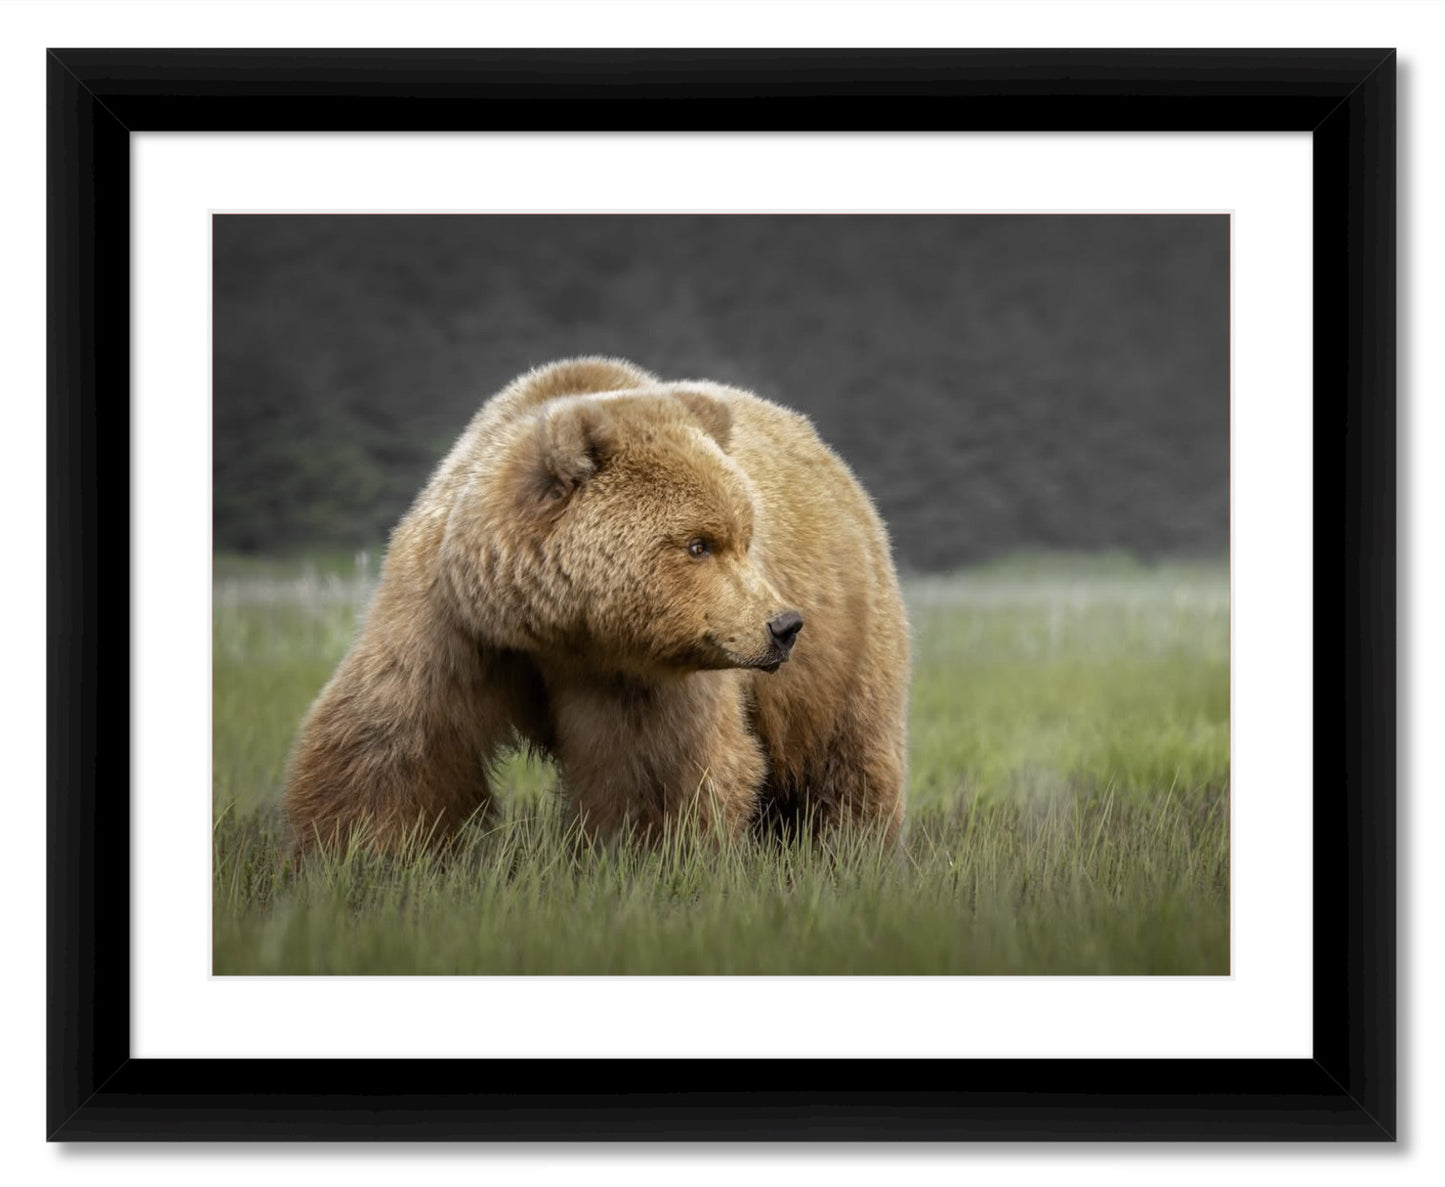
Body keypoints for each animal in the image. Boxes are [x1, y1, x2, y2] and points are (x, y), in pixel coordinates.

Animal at [282, 357, 910, 853]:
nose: (782, 625)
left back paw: (849, 849)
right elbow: (393, 742)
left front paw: (650, 858)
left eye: (744, 539)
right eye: (699, 544)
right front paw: (355, 855)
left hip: (847, 642)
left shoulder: (639, 675)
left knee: (845, 758)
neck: (554, 627)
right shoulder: (452, 620)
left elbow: (657, 771)